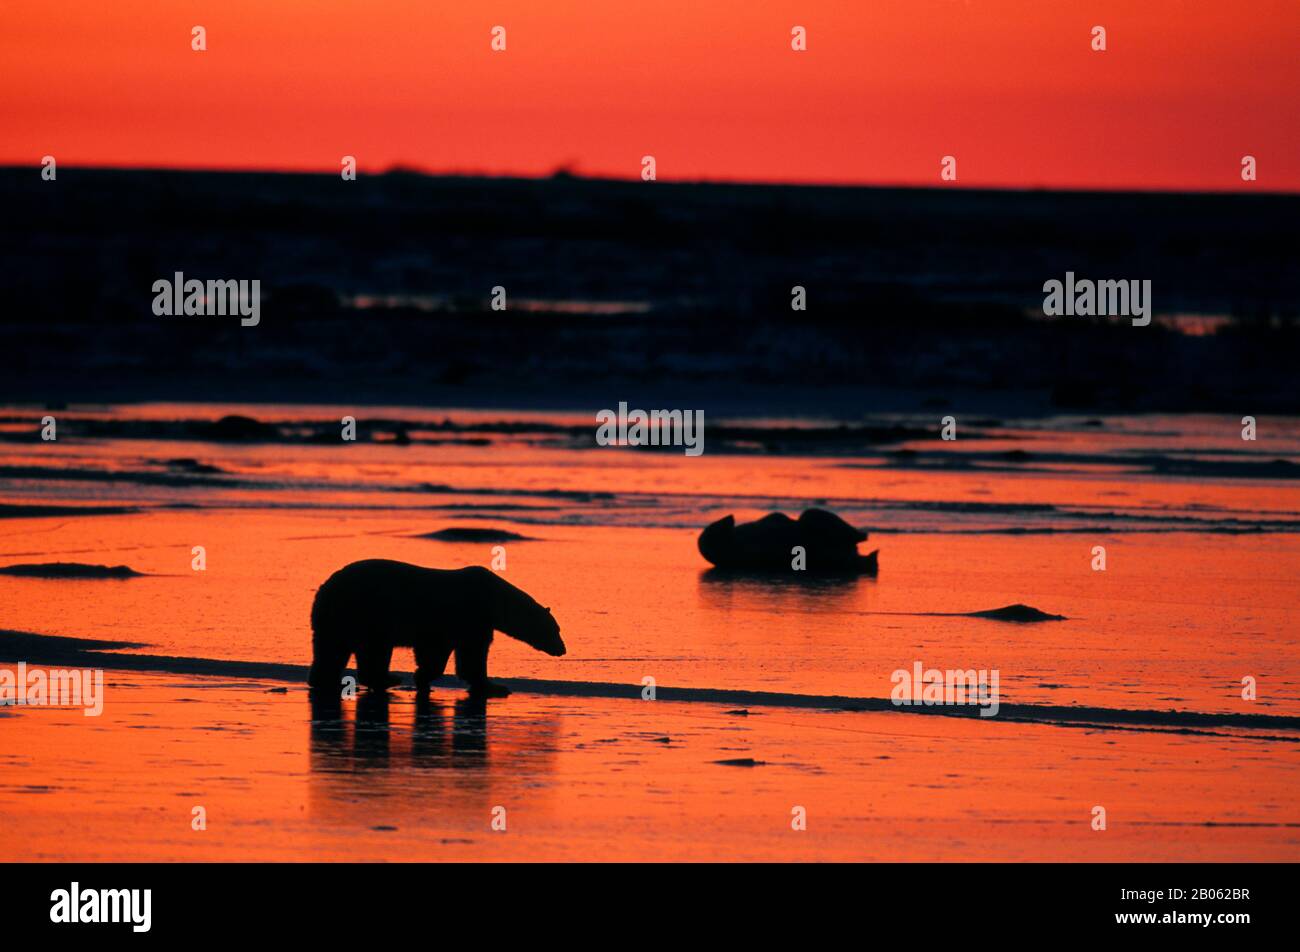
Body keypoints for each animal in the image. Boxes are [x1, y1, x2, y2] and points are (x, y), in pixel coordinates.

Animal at [307, 560, 565, 698]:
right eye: (555, 630)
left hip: (340, 621)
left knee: (331, 651)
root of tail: (324, 590)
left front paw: (422, 676)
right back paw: (388, 678)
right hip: (366, 613)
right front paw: (495, 686)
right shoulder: (468, 618)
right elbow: (467, 655)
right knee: (371, 650)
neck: (493, 600)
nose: (562, 649)